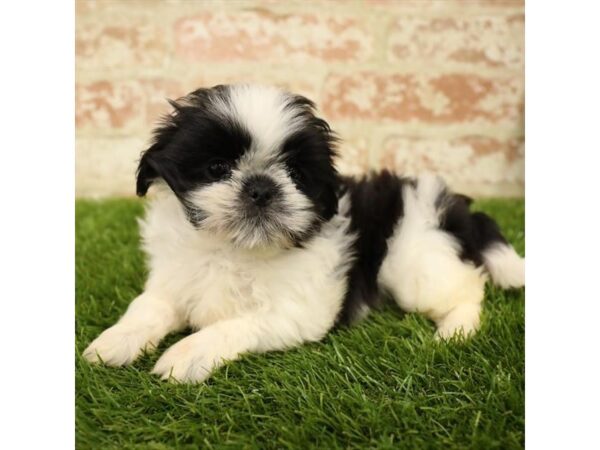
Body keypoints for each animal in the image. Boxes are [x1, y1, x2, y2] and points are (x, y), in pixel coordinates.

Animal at [82, 83, 524, 384]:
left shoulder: (298, 312)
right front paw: (115, 341)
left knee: (468, 289)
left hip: (415, 260)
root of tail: (455, 206)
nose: (261, 187)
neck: (234, 249)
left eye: (295, 174)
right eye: (216, 168)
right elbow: (148, 307)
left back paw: (454, 331)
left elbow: (236, 324)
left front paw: (187, 354)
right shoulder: (173, 281)